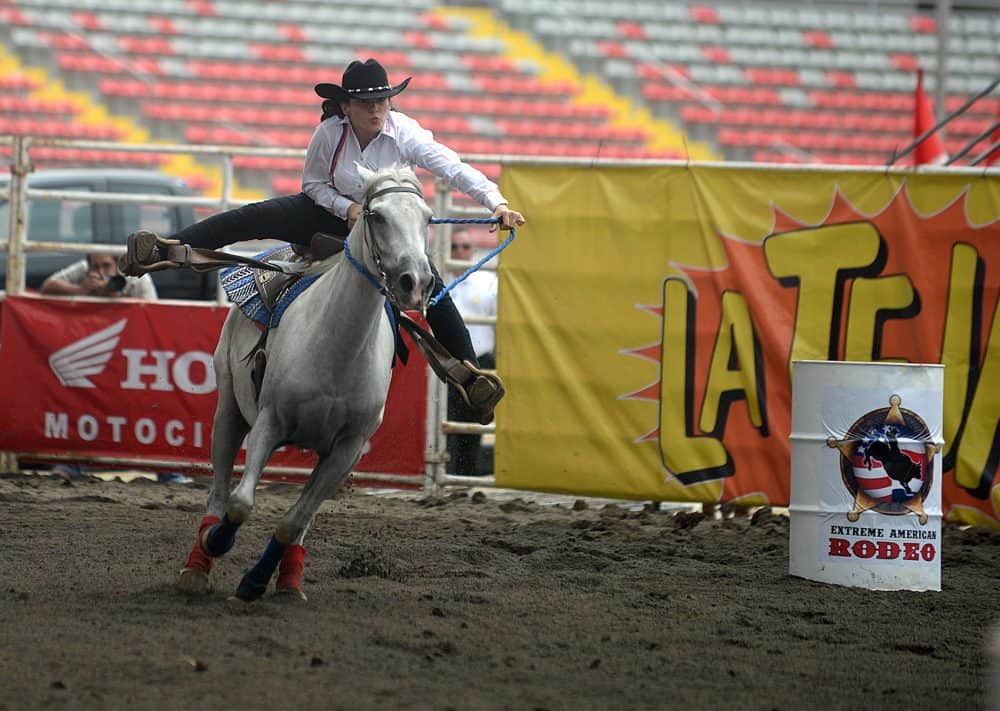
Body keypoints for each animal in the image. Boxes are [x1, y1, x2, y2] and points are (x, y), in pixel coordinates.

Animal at [177, 167, 434, 608]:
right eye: (377, 216)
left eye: (428, 218)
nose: (415, 282)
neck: (339, 344)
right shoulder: (269, 422)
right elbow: (240, 504)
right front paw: (217, 542)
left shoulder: (348, 449)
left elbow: (291, 523)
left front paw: (256, 581)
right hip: (229, 410)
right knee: (219, 492)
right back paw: (198, 565)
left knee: (300, 522)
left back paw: (288, 583)